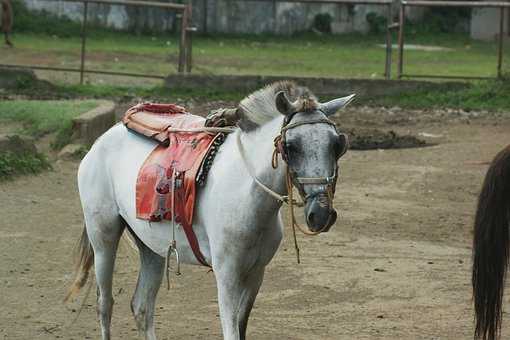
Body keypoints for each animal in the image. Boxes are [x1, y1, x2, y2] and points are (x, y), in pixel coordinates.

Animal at [65, 81, 354, 338]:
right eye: (291, 146)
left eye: (336, 145)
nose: (321, 213)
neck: (246, 193)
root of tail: (101, 141)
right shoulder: (227, 276)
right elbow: (231, 332)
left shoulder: (256, 274)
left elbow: (241, 328)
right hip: (103, 238)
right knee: (105, 305)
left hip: (152, 247)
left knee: (142, 307)